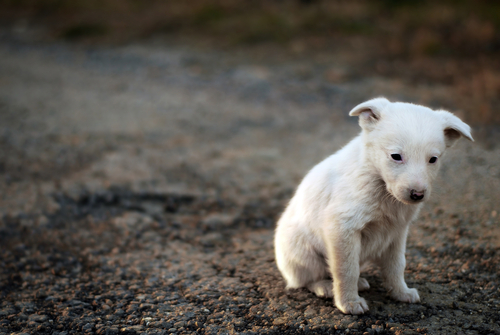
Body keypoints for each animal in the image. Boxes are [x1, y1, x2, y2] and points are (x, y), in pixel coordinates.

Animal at [274, 97, 472, 316]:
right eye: (396, 156)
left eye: (433, 159)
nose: (417, 195)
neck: (380, 184)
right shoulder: (342, 228)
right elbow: (346, 269)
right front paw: (349, 303)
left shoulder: (397, 232)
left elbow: (396, 265)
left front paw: (400, 293)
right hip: (303, 253)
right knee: (306, 279)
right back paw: (324, 286)